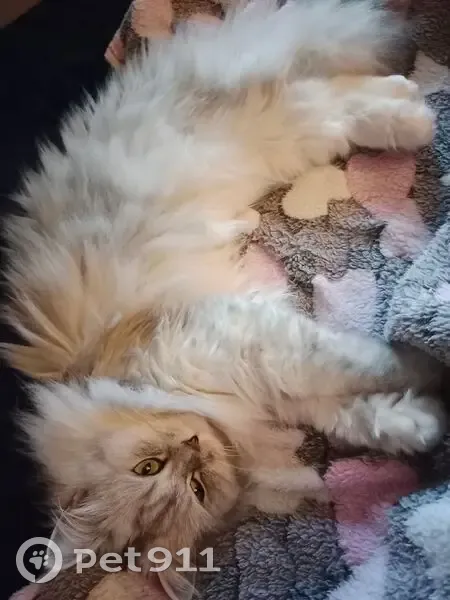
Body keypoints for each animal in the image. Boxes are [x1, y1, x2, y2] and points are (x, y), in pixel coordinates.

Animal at [3, 1, 446, 597]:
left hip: (266, 130)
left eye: (149, 467)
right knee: (334, 101)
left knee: (336, 95)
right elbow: (355, 410)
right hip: (289, 139)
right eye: (195, 489)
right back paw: (411, 107)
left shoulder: (241, 339)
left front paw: (425, 365)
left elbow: (371, 361)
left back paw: (413, 110)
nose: (193, 446)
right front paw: (422, 423)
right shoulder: (272, 379)